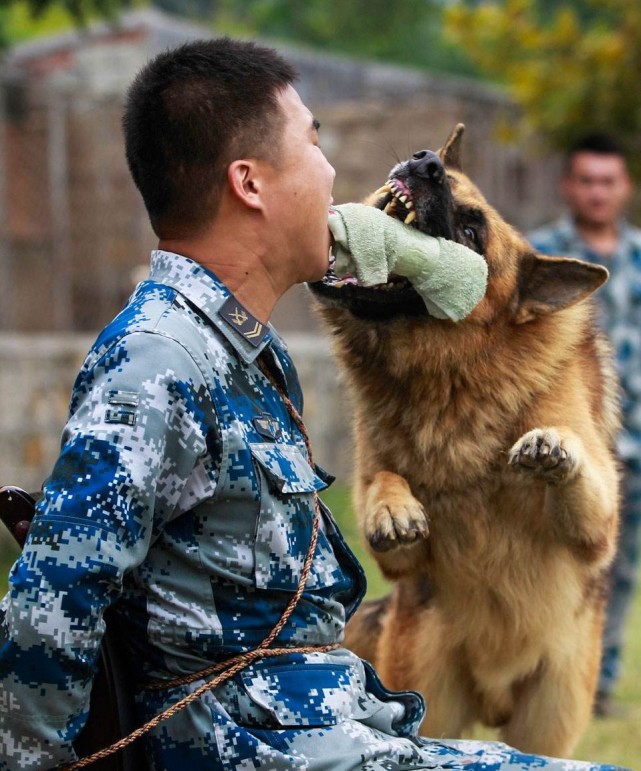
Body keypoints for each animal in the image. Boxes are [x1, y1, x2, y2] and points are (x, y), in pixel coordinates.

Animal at [310, 125, 620, 752]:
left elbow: (578, 472)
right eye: (444, 181)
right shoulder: (400, 549)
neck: (456, 374)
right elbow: (385, 476)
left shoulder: (597, 532)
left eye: (474, 231)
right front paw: (392, 507)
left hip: (546, 726)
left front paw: (554, 448)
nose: (425, 160)